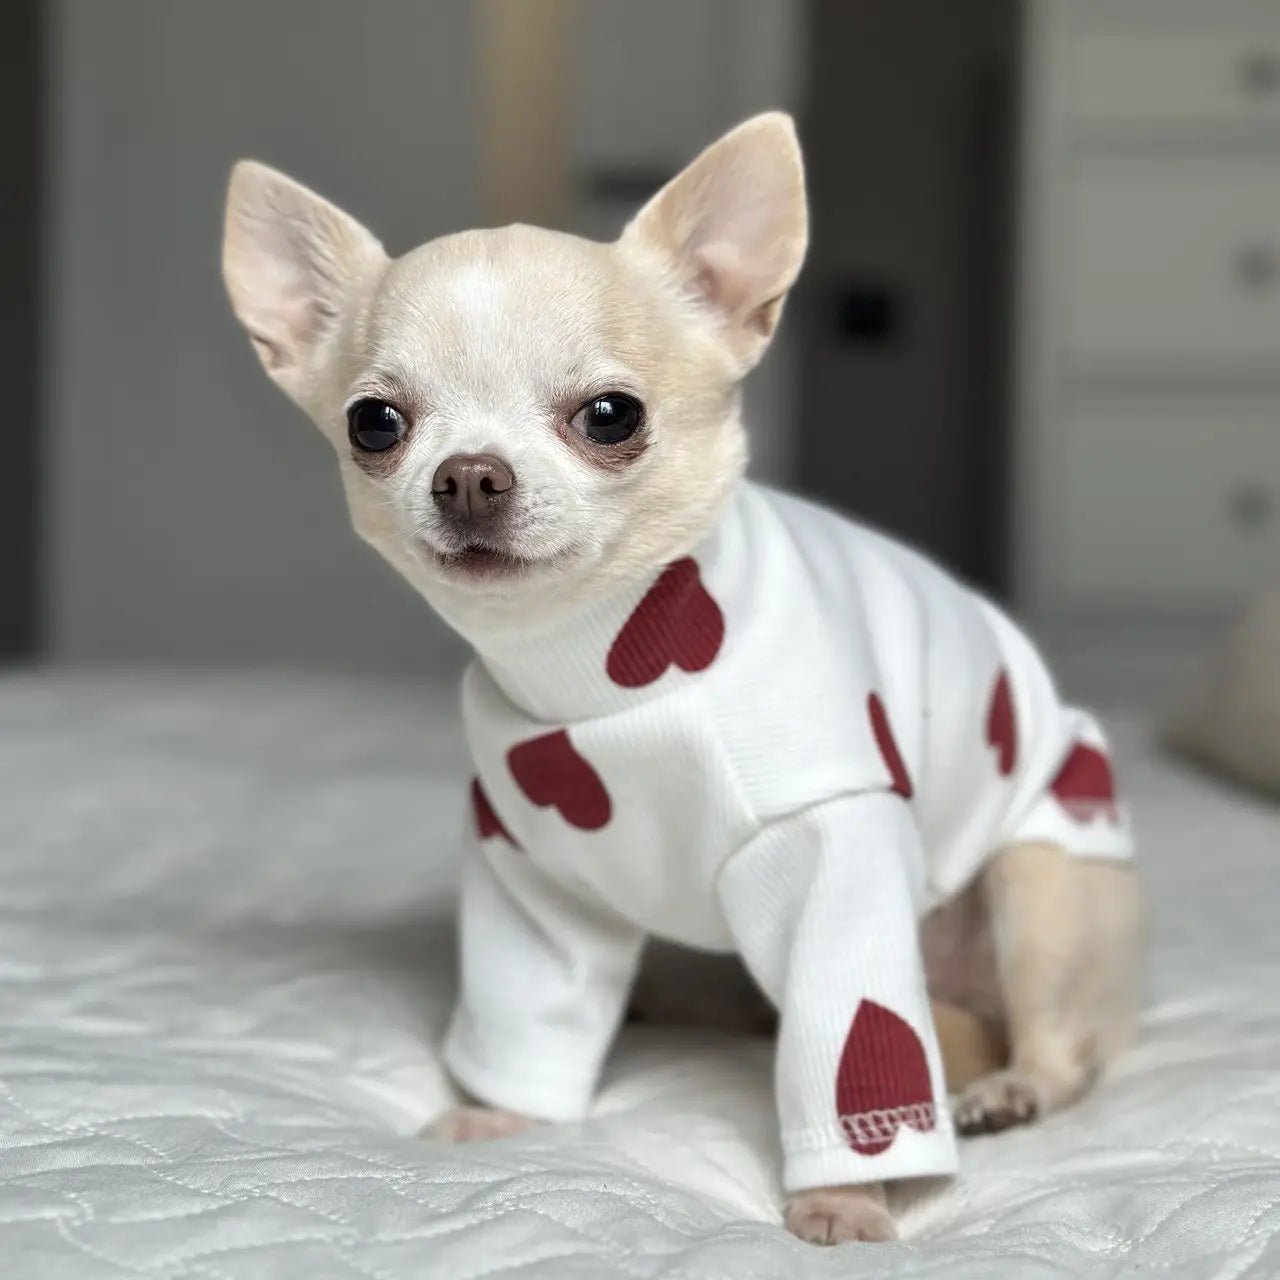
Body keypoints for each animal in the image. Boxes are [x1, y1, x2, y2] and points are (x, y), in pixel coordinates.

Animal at [220, 117, 1141, 1239]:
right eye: (374, 425)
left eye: (611, 415)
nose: (469, 474)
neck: (609, 672)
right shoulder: (531, 880)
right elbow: (532, 1013)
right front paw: (501, 1114)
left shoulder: (833, 854)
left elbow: (846, 1048)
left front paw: (844, 1198)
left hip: (1040, 881)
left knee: (1060, 1045)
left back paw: (1007, 1088)